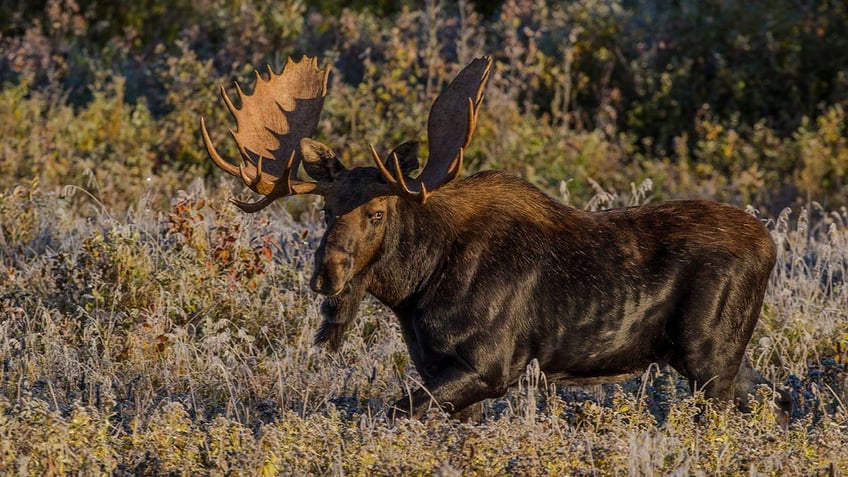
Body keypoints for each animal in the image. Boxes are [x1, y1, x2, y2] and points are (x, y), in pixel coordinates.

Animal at [200, 54, 796, 420]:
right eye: (325, 208)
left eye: (378, 212)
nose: (328, 275)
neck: (415, 288)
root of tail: (771, 247)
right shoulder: (443, 369)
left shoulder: (490, 366)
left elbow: (397, 412)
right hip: (725, 362)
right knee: (779, 400)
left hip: (710, 358)